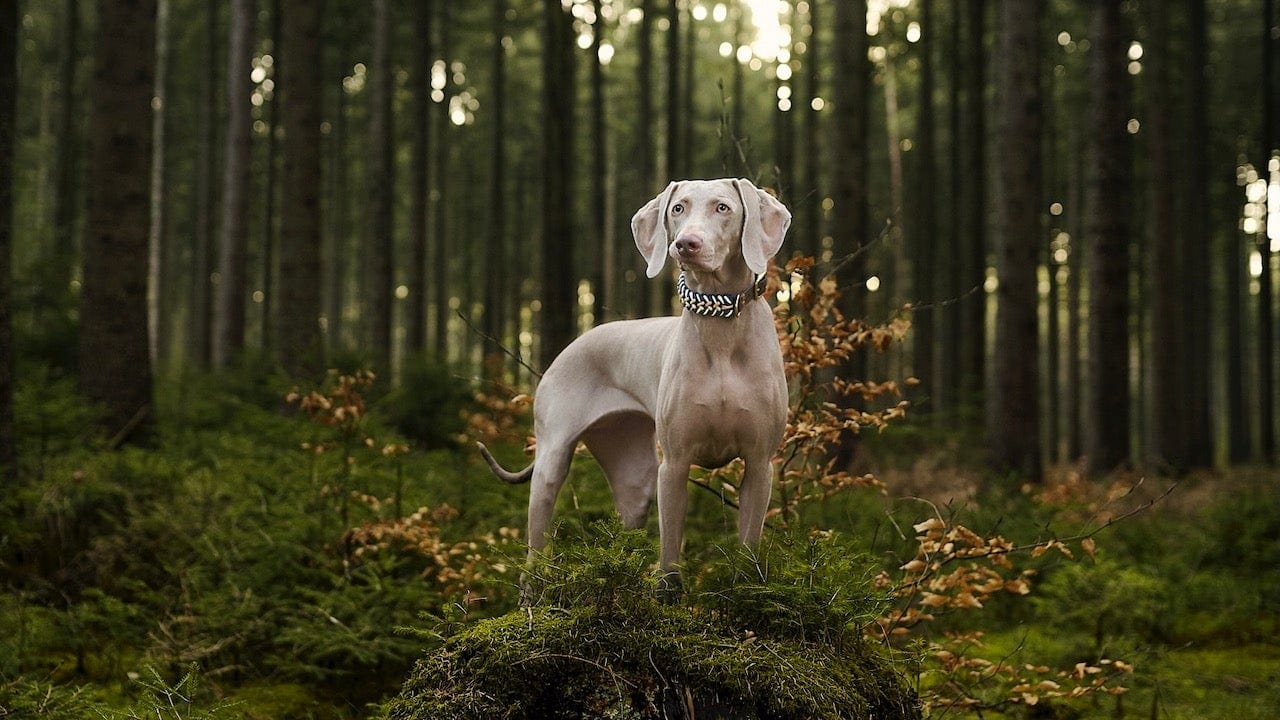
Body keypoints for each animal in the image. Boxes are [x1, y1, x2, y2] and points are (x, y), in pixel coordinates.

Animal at [476, 176, 783, 591]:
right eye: (678, 208)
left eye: (723, 208)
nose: (685, 244)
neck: (720, 327)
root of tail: (572, 345)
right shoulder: (675, 463)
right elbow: (670, 553)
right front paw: (668, 594)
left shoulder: (759, 463)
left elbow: (748, 545)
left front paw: (750, 591)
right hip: (552, 463)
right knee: (534, 552)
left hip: (633, 471)